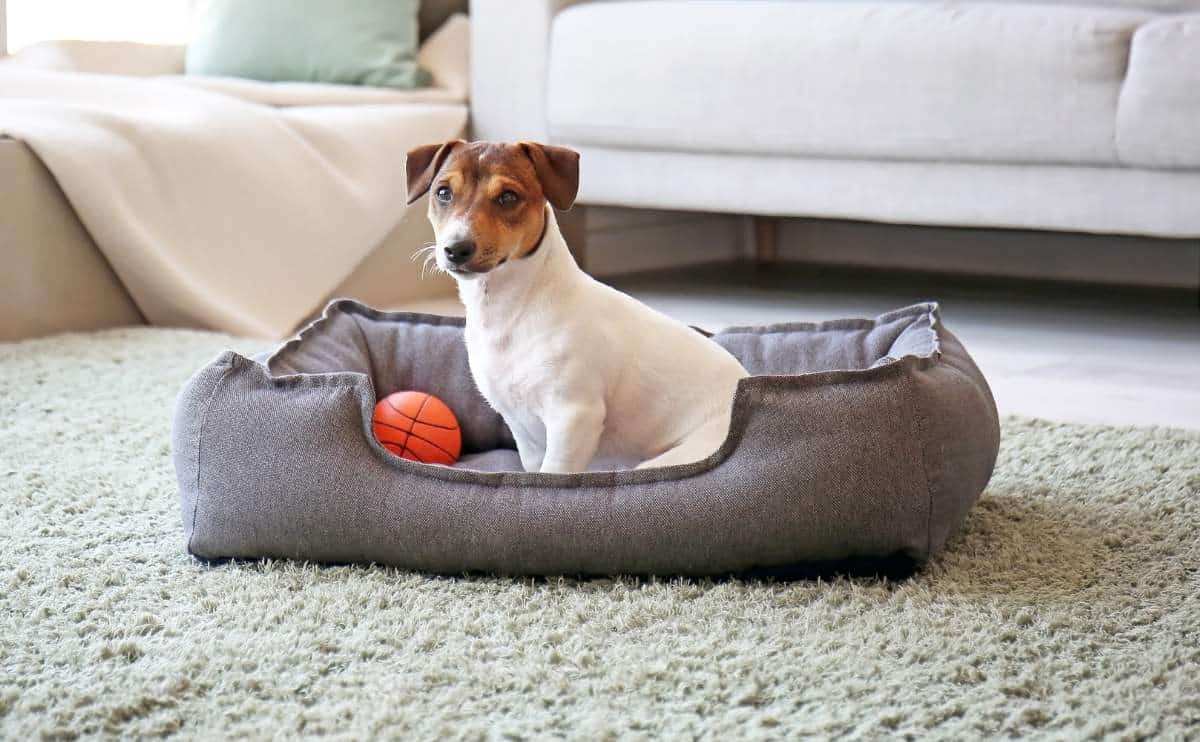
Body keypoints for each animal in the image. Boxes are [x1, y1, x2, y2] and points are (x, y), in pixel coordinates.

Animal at [408, 141, 744, 470]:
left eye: (508, 197)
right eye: (443, 193)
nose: (456, 249)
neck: (511, 310)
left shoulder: (574, 418)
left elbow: (554, 472)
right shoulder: (522, 429)